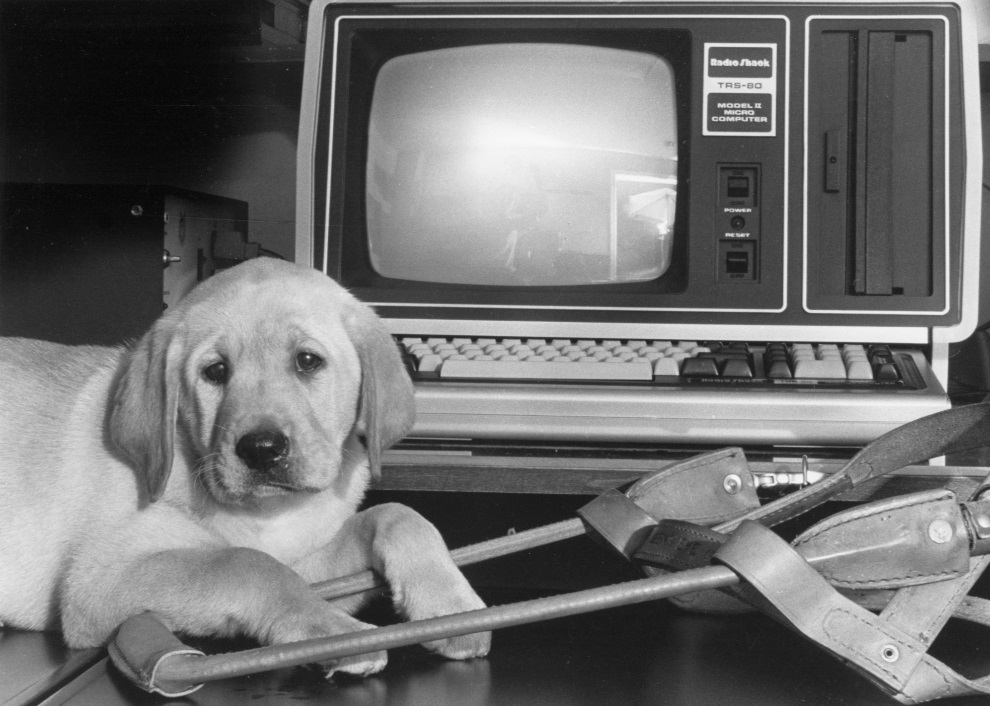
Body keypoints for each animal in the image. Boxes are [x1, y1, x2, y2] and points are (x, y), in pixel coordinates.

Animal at [0, 256, 492, 672]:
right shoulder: (99, 580)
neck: (267, 514)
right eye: (215, 372)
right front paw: (335, 634)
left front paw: (448, 603)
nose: (261, 449)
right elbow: (246, 563)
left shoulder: (305, 556)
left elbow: (396, 515)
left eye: (307, 361)